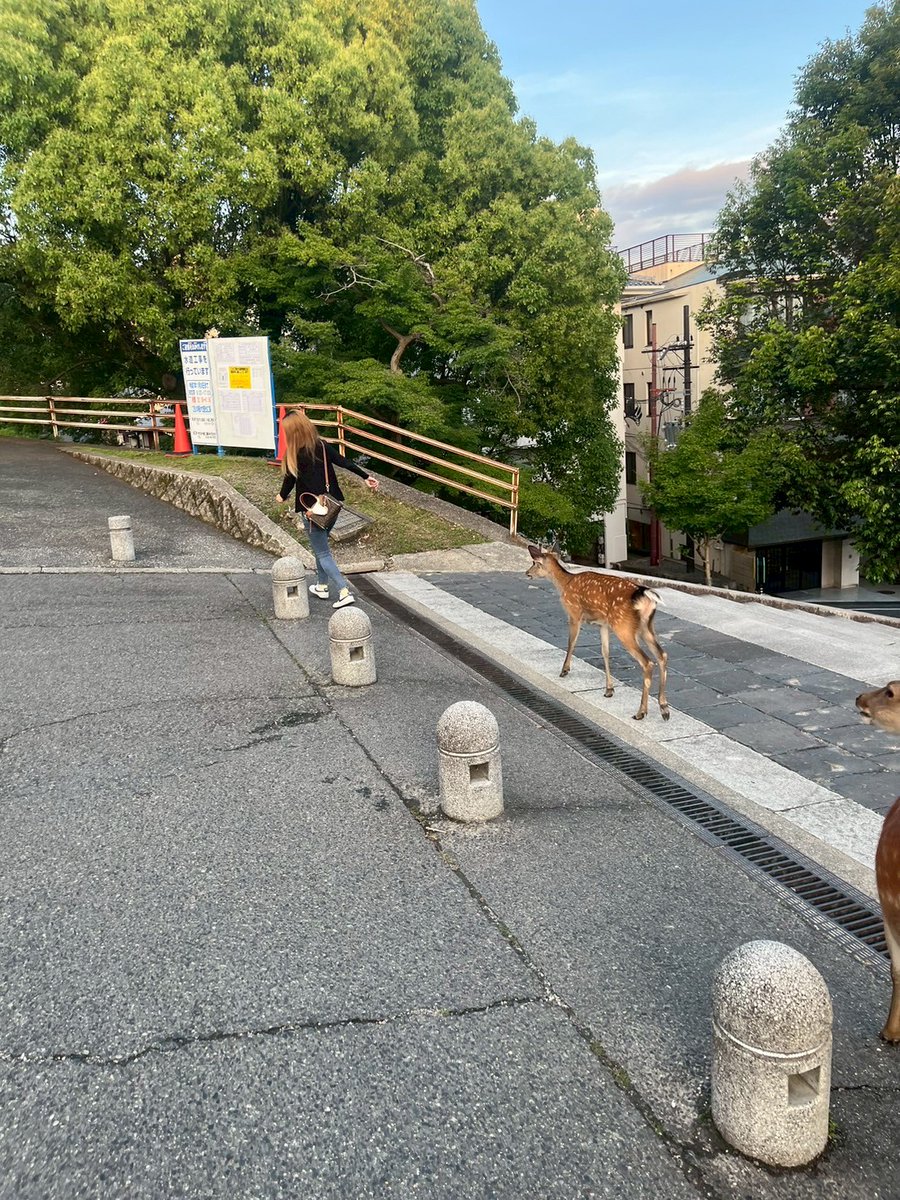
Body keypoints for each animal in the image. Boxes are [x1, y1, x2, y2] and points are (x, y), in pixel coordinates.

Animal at [525, 544, 669, 721]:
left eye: (535, 563)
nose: (527, 573)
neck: (565, 583)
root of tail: (645, 596)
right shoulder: (603, 625)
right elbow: (605, 652)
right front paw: (609, 690)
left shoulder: (574, 614)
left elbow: (571, 642)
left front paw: (564, 670)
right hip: (646, 627)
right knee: (662, 655)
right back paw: (664, 708)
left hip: (624, 627)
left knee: (647, 662)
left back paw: (641, 712)